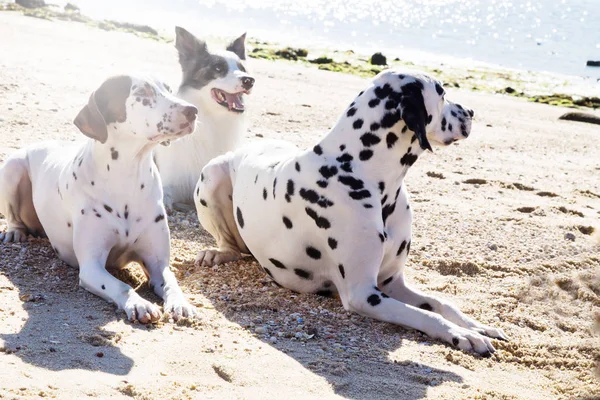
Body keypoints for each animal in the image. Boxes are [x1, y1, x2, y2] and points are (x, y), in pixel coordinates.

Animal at [0, 75, 199, 324]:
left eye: (170, 89)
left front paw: (181, 304)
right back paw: (14, 231)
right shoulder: (91, 267)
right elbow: (121, 286)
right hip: (12, 169)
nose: (193, 111)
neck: (126, 177)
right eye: (142, 92)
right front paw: (139, 303)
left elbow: (171, 281)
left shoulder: (157, 262)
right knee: (13, 215)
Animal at [195, 69, 508, 356]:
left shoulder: (392, 284)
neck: (361, 171)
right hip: (210, 176)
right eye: (442, 93)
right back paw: (216, 253)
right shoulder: (364, 295)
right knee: (229, 243)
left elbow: (442, 303)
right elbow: (426, 314)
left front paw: (476, 325)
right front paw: (462, 335)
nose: (471, 111)